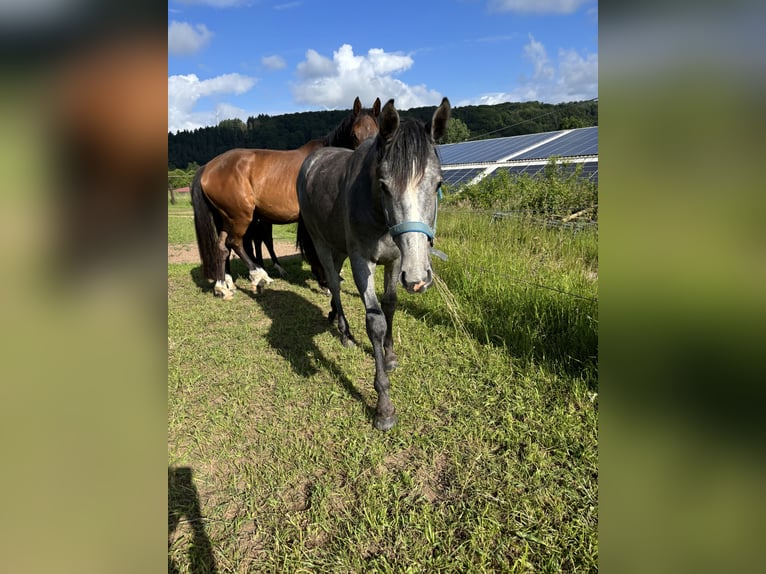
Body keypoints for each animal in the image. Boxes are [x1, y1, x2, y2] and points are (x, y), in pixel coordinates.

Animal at [194, 96, 382, 300]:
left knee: (222, 247)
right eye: (355, 134)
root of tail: (208, 167)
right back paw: (259, 276)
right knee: (234, 243)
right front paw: (325, 282)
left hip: (227, 218)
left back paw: (223, 286)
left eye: (378, 133)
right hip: (240, 217)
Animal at [296, 100, 452, 432]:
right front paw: (384, 407)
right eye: (384, 186)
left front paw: (390, 356)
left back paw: (333, 316)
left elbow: (390, 303)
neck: (377, 211)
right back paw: (344, 333)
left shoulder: (396, 261)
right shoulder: (361, 263)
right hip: (322, 243)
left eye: (438, 183)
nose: (419, 277)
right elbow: (375, 321)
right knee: (333, 282)